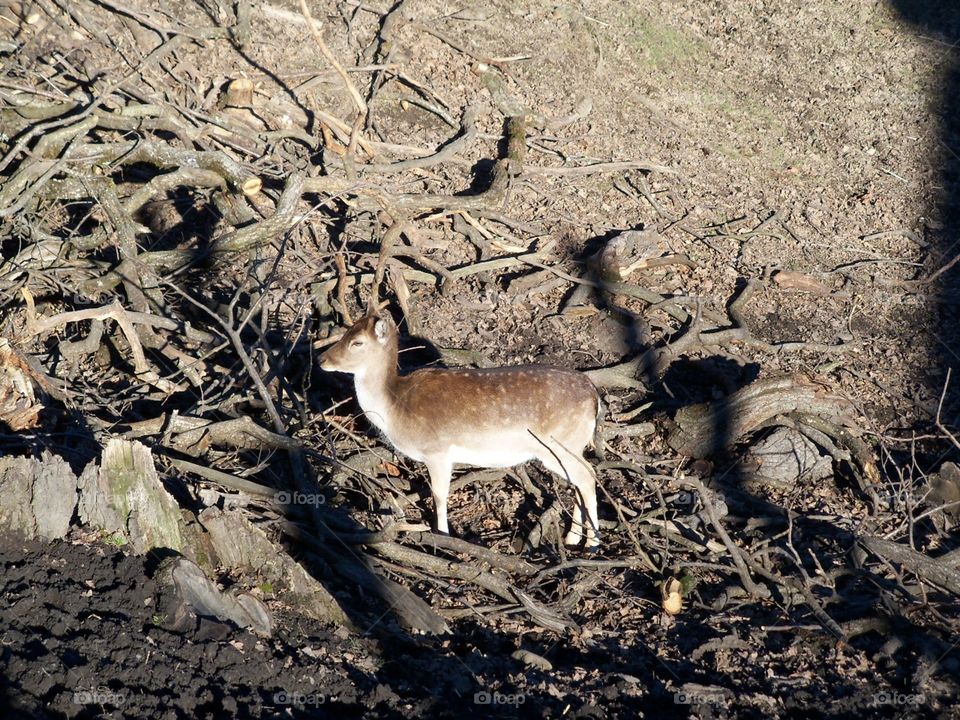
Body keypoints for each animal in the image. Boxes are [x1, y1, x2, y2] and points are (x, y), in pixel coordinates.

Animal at [319, 310, 603, 548]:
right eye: (346, 332)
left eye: (357, 343)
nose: (322, 358)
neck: (395, 408)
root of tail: (594, 395)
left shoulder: (437, 450)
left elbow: (439, 494)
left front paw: (443, 535)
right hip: (571, 445)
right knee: (582, 477)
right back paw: (572, 538)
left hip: (558, 443)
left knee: (588, 476)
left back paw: (592, 542)